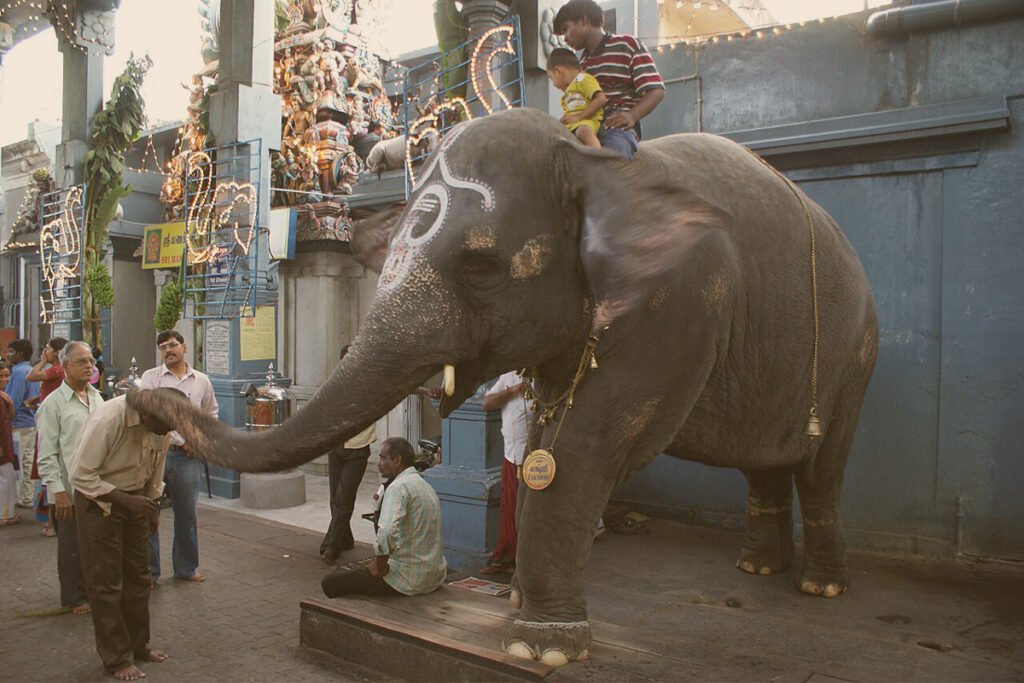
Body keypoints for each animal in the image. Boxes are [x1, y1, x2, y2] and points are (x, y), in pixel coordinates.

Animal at [129, 107, 878, 667]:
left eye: (481, 265)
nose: (141, 395)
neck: (586, 162)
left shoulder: (676, 307)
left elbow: (583, 449)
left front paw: (541, 645)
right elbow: (551, 434)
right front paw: (522, 605)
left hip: (855, 352)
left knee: (822, 467)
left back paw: (820, 584)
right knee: (766, 464)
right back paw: (758, 569)